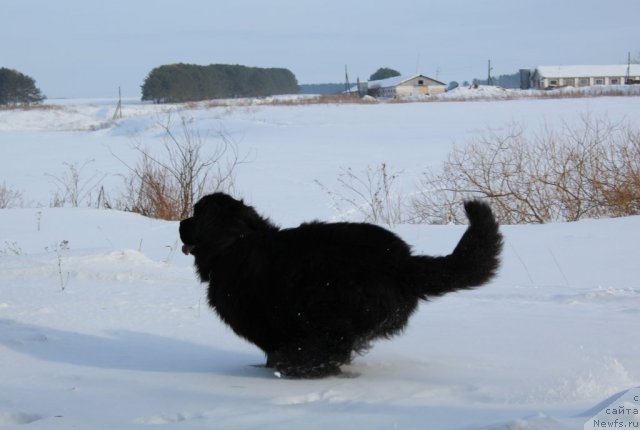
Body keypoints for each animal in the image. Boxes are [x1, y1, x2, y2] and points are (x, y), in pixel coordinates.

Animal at [179, 193, 500, 378]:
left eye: (196, 214)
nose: (181, 222)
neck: (234, 240)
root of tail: (402, 261)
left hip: (323, 300)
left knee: (332, 344)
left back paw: (301, 364)